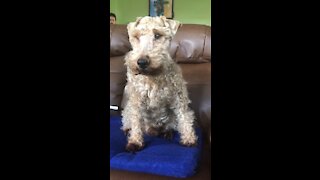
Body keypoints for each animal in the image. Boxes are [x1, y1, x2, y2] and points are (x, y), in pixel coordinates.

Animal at [122, 16, 198, 152]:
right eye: (136, 36)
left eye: (157, 35)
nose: (141, 62)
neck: (153, 77)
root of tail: (153, 129)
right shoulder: (136, 101)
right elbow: (136, 122)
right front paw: (135, 141)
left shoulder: (179, 98)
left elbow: (184, 117)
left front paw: (189, 139)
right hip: (128, 110)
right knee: (130, 122)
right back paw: (129, 130)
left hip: (171, 119)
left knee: (170, 125)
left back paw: (167, 132)